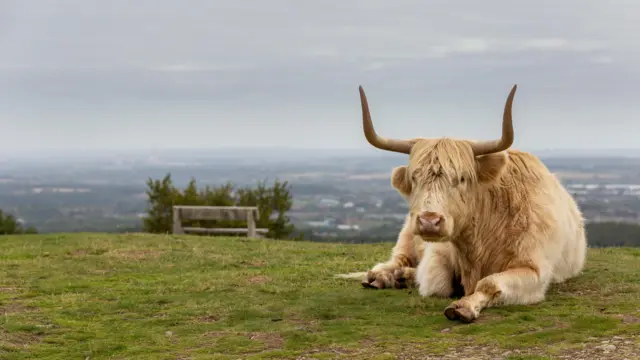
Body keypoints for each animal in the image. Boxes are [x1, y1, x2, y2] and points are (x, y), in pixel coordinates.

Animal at [352, 83, 588, 324]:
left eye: (462, 178)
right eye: (414, 178)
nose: (429, 221)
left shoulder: (534, 269)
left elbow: (489, 283)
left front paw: (463, 306)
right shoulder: (437, 254)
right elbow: (438, 284)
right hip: (408, 234)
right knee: (398, 259)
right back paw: (381, 276)